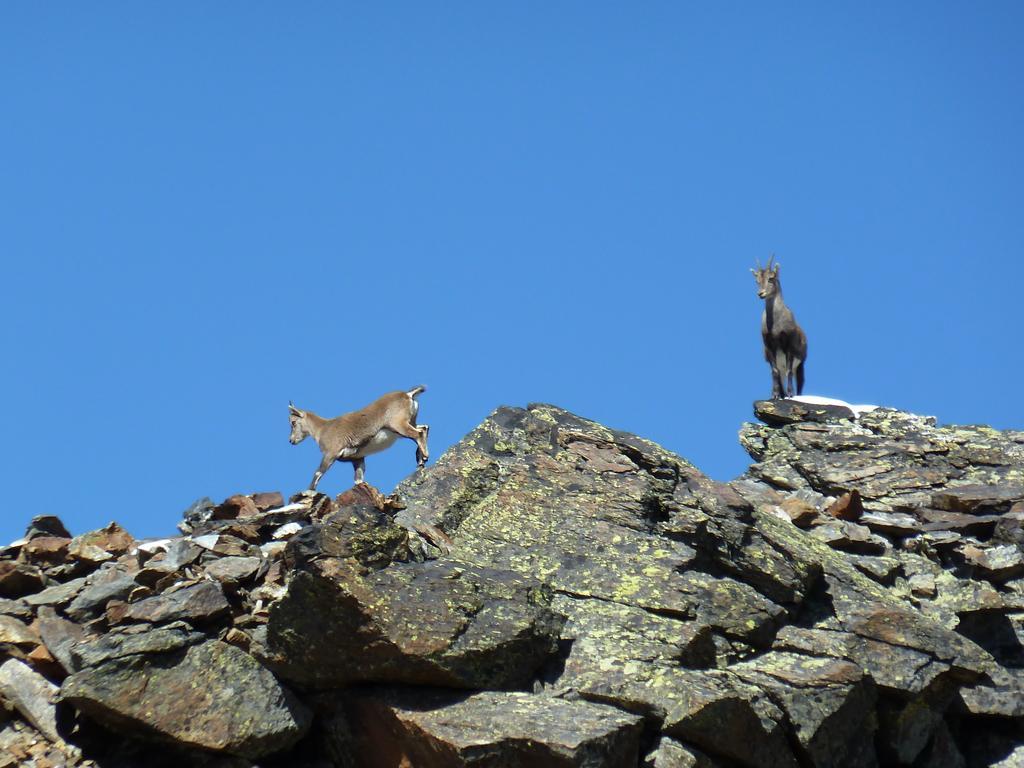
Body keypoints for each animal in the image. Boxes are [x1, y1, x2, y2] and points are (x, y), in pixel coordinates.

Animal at [288, 387, 428, 489]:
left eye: (293, 422)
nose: (291, 440)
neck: (323, 429)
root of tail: (408, 394)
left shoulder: (331, 453)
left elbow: (318, 473)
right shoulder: (357, 458)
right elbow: (358, 479)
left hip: (398, 424)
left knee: (418, 434)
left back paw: (424, 457)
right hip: (410, 422)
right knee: (424, 428)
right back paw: (420, 460)